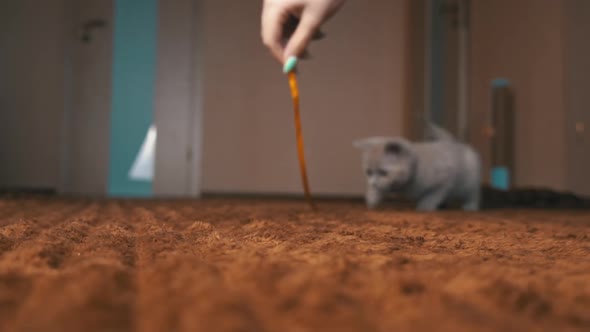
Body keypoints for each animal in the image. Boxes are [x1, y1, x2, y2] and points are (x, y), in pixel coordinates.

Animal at [354, 123, 484, 211]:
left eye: (383, 172)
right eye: (368, 172)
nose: (373, 183)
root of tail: (453, 143)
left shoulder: (445, 178)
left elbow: (434, 193)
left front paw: (425, 206)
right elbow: (380, 189)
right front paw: (372, 197)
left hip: (468, 183)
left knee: (473, 193)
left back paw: (470, 206)